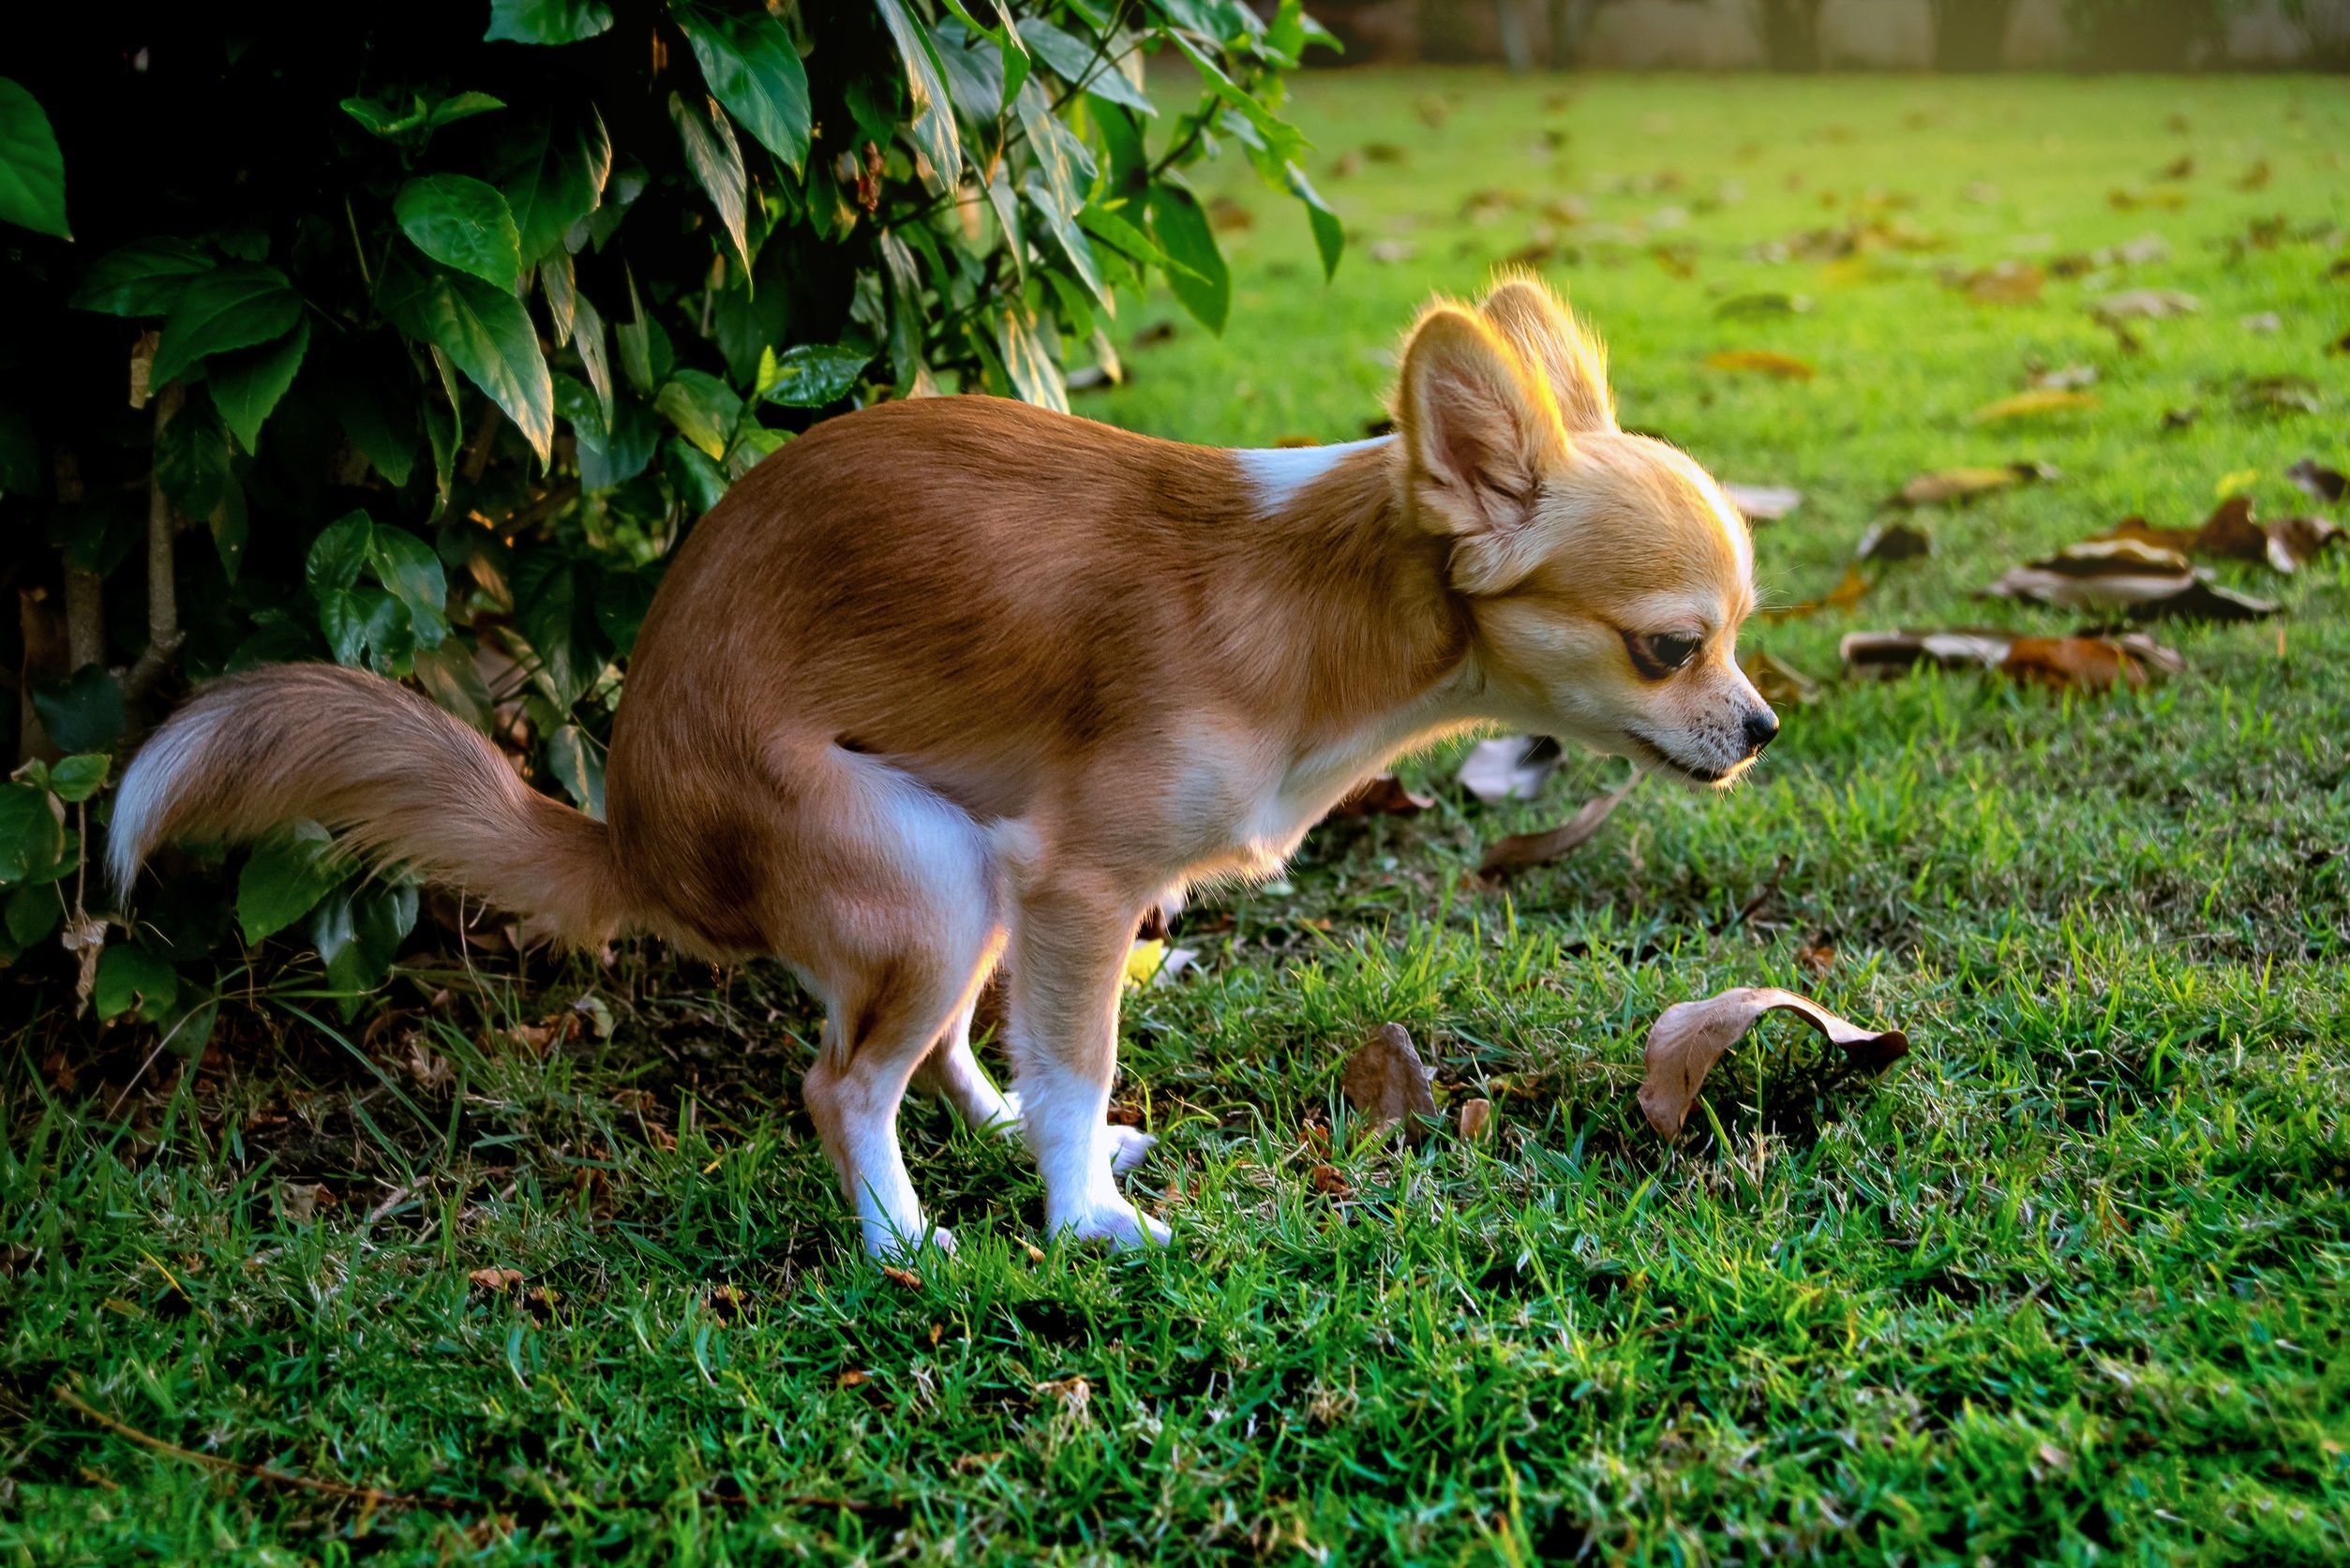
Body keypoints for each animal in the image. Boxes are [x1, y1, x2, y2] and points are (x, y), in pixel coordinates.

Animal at [105, 281, 1767, 1260]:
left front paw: (1059, 1159)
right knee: (840, 1080)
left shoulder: (1055, 892)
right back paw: (903, 1240)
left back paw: (976, 1129)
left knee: (934, 1046)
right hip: (925, 876)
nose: (1757, 730)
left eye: (1734, 641)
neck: (1312, 608)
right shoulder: (1084, 885)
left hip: (958, 876)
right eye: (1667, 648)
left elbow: (1052, 1055)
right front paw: (1086, 1221)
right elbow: (1076, 1050)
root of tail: (633, 832)